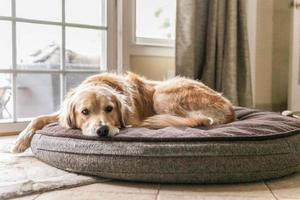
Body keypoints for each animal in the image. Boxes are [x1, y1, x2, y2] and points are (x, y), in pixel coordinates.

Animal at [11, 72, 234, 152]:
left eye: (109, 109)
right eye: (84, 112)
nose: (102, 131)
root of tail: (231, 109)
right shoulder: (61, 114)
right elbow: (38, 118)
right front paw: (20, 141)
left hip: (162, 92)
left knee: (197, 120)